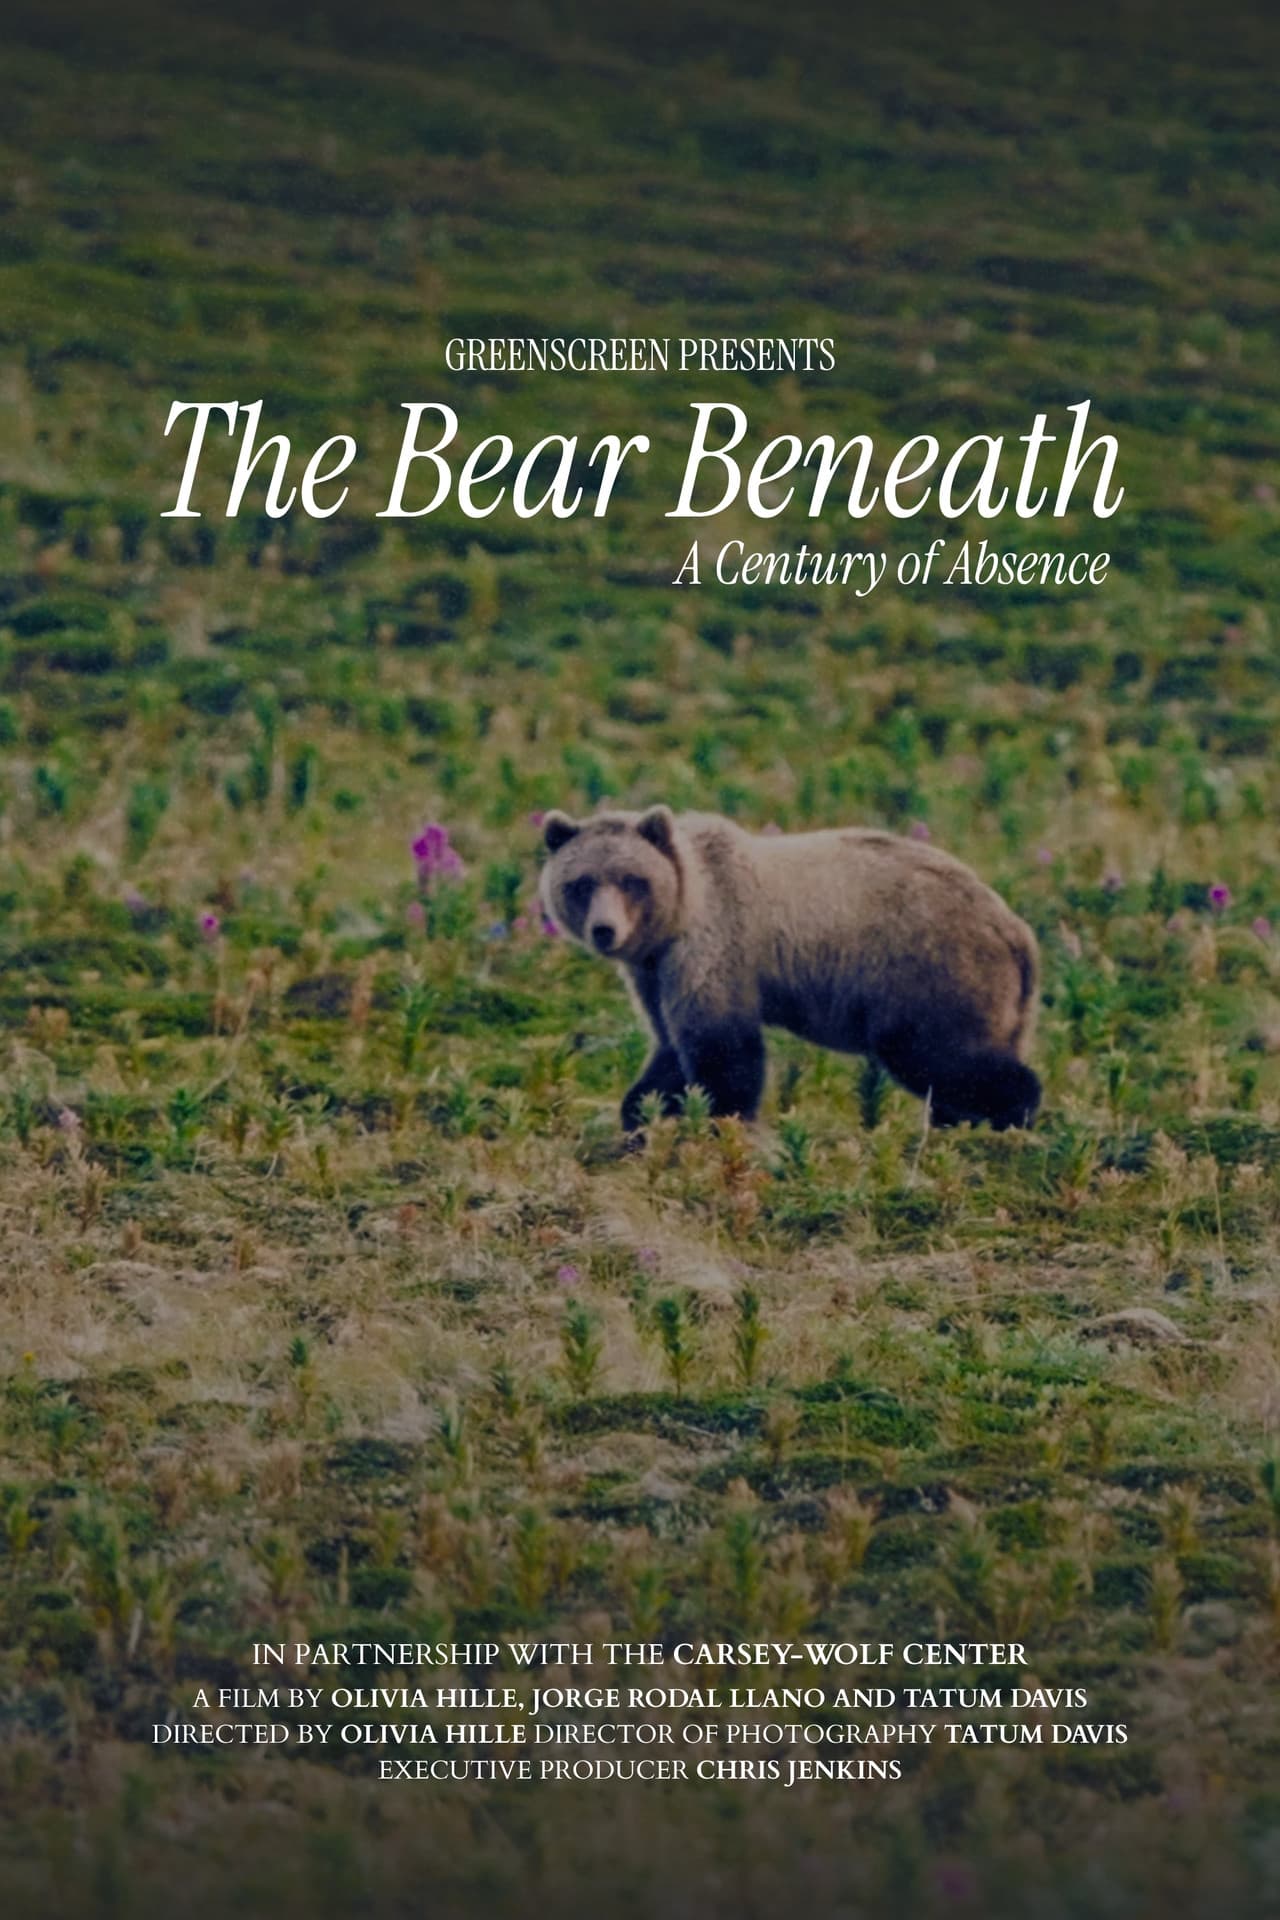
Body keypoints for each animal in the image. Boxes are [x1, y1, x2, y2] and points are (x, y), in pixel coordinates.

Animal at [539, 805, 1041, 1134]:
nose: (605, 930)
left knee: (937, 1052)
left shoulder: (714, 947)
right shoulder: (654, 972)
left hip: (929, 970)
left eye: (631, 880)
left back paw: (1010, 1113)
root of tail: (1017, 932)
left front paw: (721, 1119)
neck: (679, 914)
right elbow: (670, 1045)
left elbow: (722, 1048)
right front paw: (641, 1108)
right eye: (581, 883)